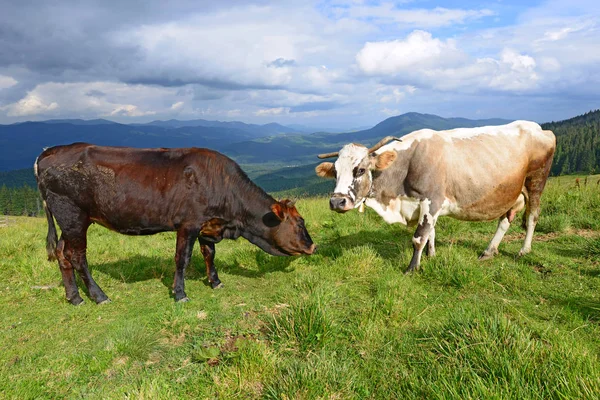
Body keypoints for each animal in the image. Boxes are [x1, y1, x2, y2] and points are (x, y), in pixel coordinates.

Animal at [35, 144, 316, 304]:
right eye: (299, 223)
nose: (313, 247)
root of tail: (50, 151)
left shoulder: (207, 225)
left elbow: (209, 253)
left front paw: (215, 281)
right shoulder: (189, 223)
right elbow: (183, 258)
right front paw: (180, 293)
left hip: (70, 220)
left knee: (62, 253)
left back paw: (74, 297)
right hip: (72, 215)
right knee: (77, 256)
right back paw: (98, 296)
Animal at [316, 120, 556, 274]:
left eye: (360, 170)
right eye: (335, 172)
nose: (336, 201)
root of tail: (540, 128)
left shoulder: (431, 200)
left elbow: (419, 237)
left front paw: (412, 268)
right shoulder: (428, 206)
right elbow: (430, 232)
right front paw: (431, 256)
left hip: (535, 182)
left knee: (533, 216)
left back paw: (524, 250)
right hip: (510, 192)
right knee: (505, 220)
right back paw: (489, 251)